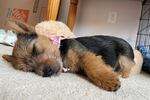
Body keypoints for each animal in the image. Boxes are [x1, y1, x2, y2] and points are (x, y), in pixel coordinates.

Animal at [2, 20, 135, 92]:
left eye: (34, 50)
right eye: (30, 69)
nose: (46, 72)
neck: (62, 55)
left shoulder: (84, 54)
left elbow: (92, 66)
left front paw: (108, 80)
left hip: (125, 57)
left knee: (128, 68)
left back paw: (120, 73)